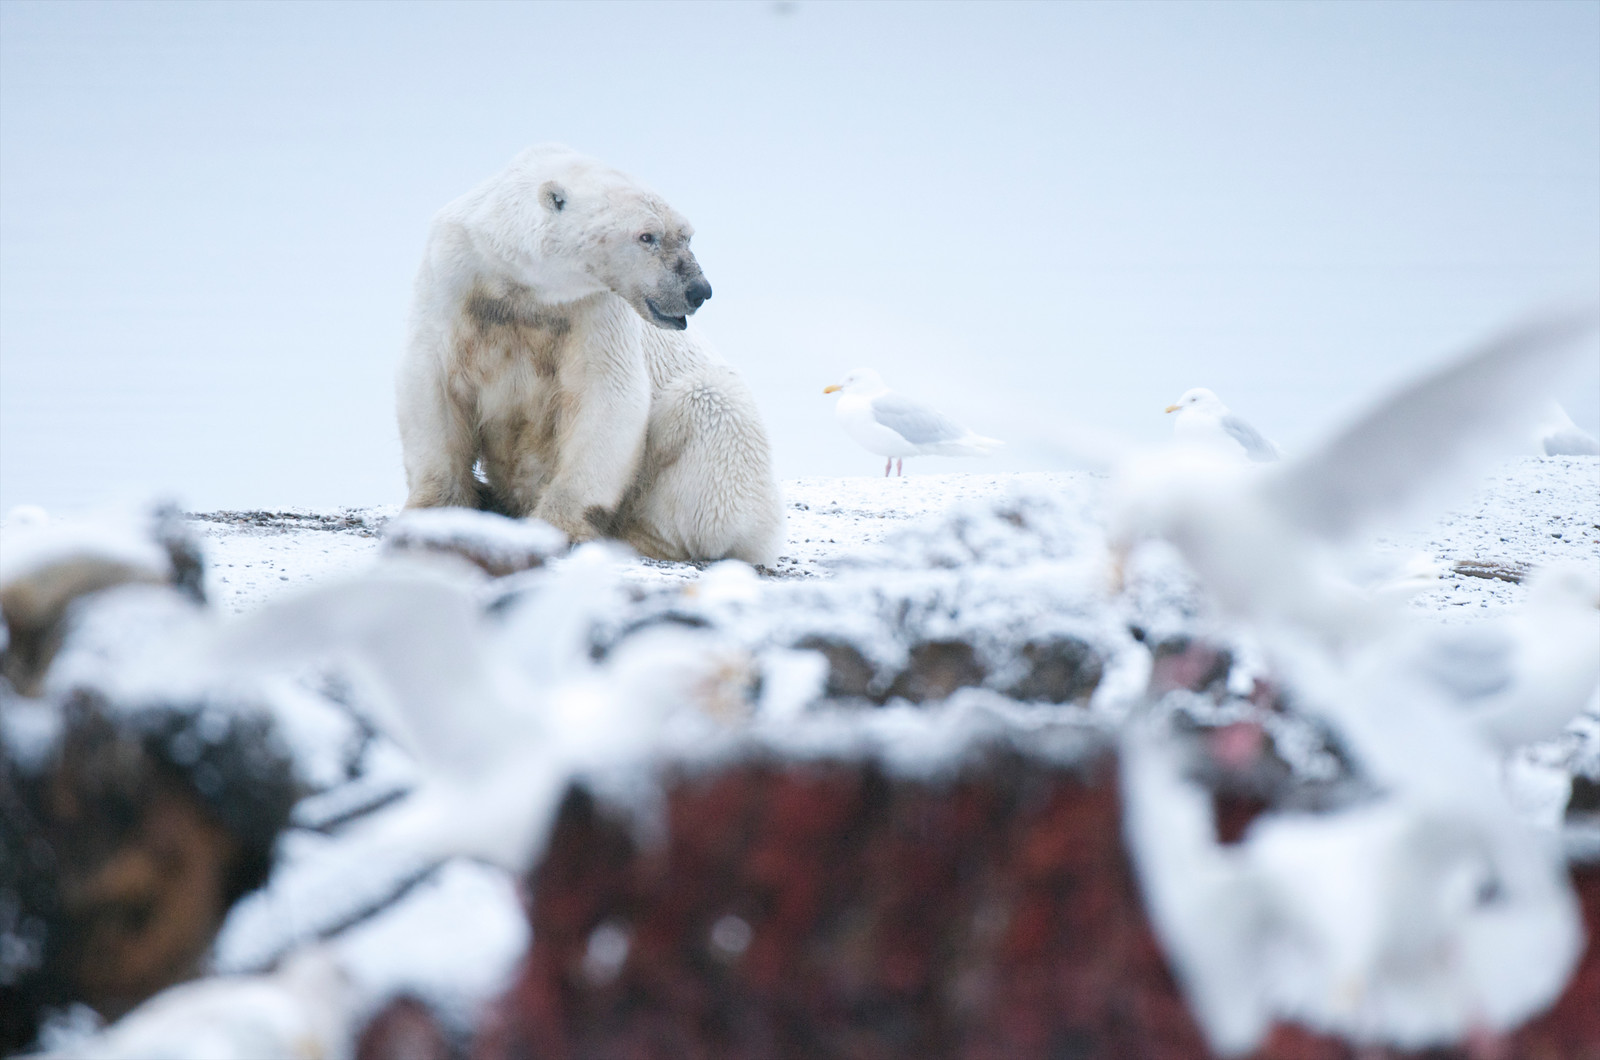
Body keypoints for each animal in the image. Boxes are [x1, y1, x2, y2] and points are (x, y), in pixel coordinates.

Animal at [393, 147, 780, 573]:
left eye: (686, 234)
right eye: (647, 236)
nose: (698, 290)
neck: (518, 283)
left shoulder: (594, 307)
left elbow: (607, 394)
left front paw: (559, 528)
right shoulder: (453, 277)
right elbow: (431, 384)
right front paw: (437, 509)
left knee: (711, 406)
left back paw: (637, 536)